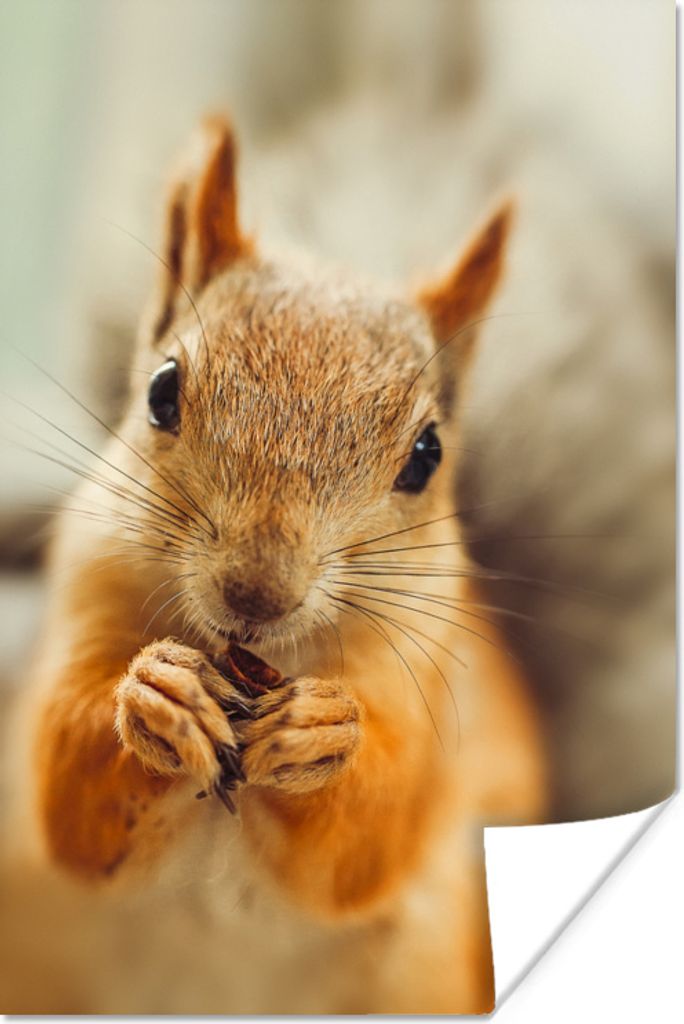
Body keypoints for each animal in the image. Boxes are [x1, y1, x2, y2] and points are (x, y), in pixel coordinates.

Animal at [20, 115, 546, 1014]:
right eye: (162, 391)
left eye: (427, 455)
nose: (256, 592)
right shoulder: (89, 591)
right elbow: (71, 794)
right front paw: (158, 696)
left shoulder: (431, 690)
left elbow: (365, 843)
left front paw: (319, 730)